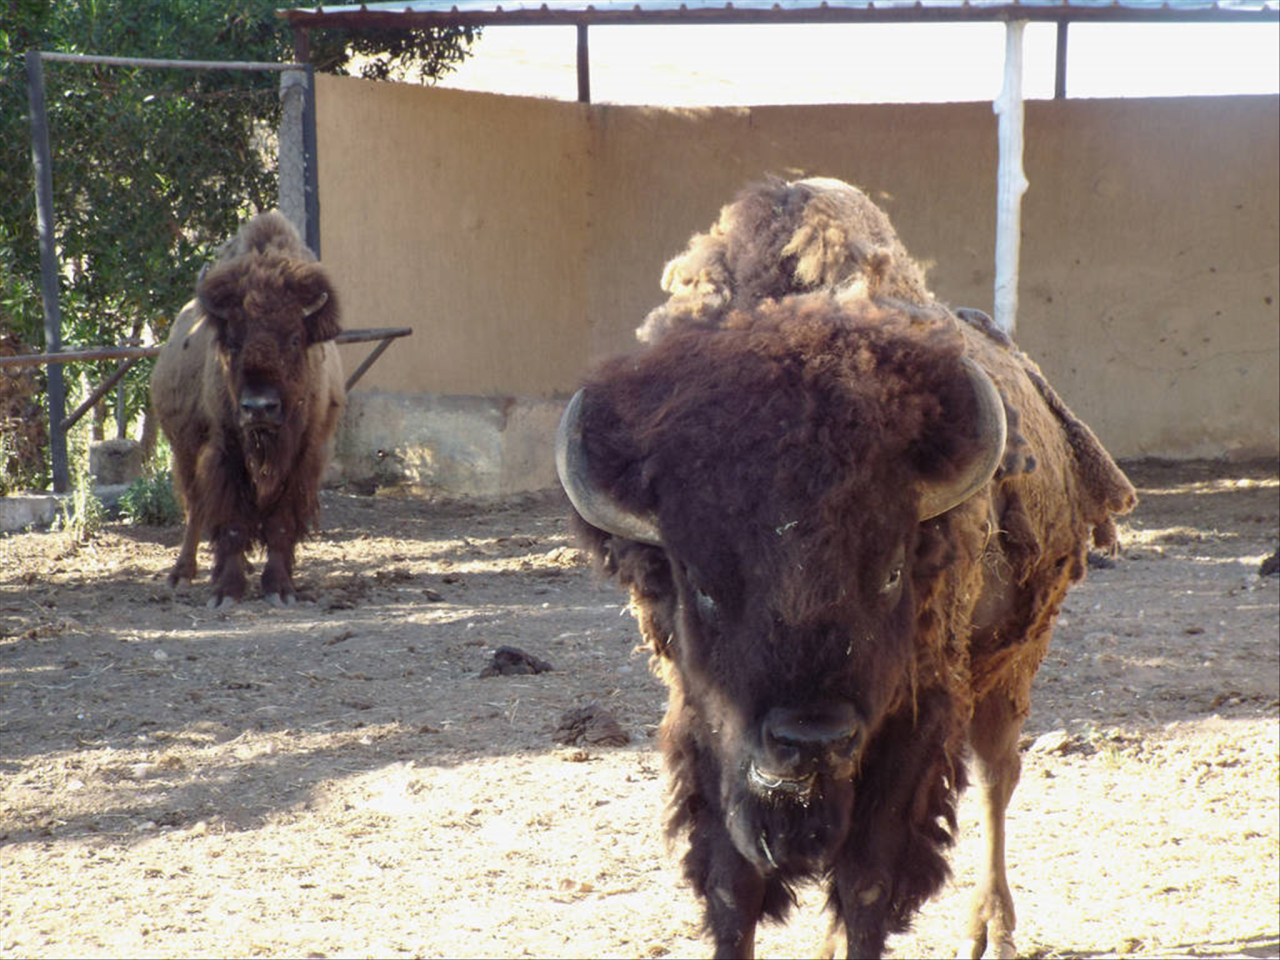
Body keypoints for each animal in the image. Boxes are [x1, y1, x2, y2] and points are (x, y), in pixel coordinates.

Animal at [151, 213, 345, 611]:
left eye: (295, 339)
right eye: (232, 341)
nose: (260, 408)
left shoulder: (304, 457)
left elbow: (281, 523)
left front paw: (280, 588)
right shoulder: (225, 453)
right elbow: (231, 522)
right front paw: (226, 592)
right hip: (184, 450)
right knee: (195, 508)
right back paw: (181, 574)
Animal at [555, 176, 1136, 957]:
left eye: (890, 572)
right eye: (701, 586)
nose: (811, 740)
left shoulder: (910, 734)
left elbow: (866, 886)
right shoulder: (706, 735)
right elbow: (733, 890)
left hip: (1013, 661)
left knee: (997, 775)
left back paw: (991, 928)